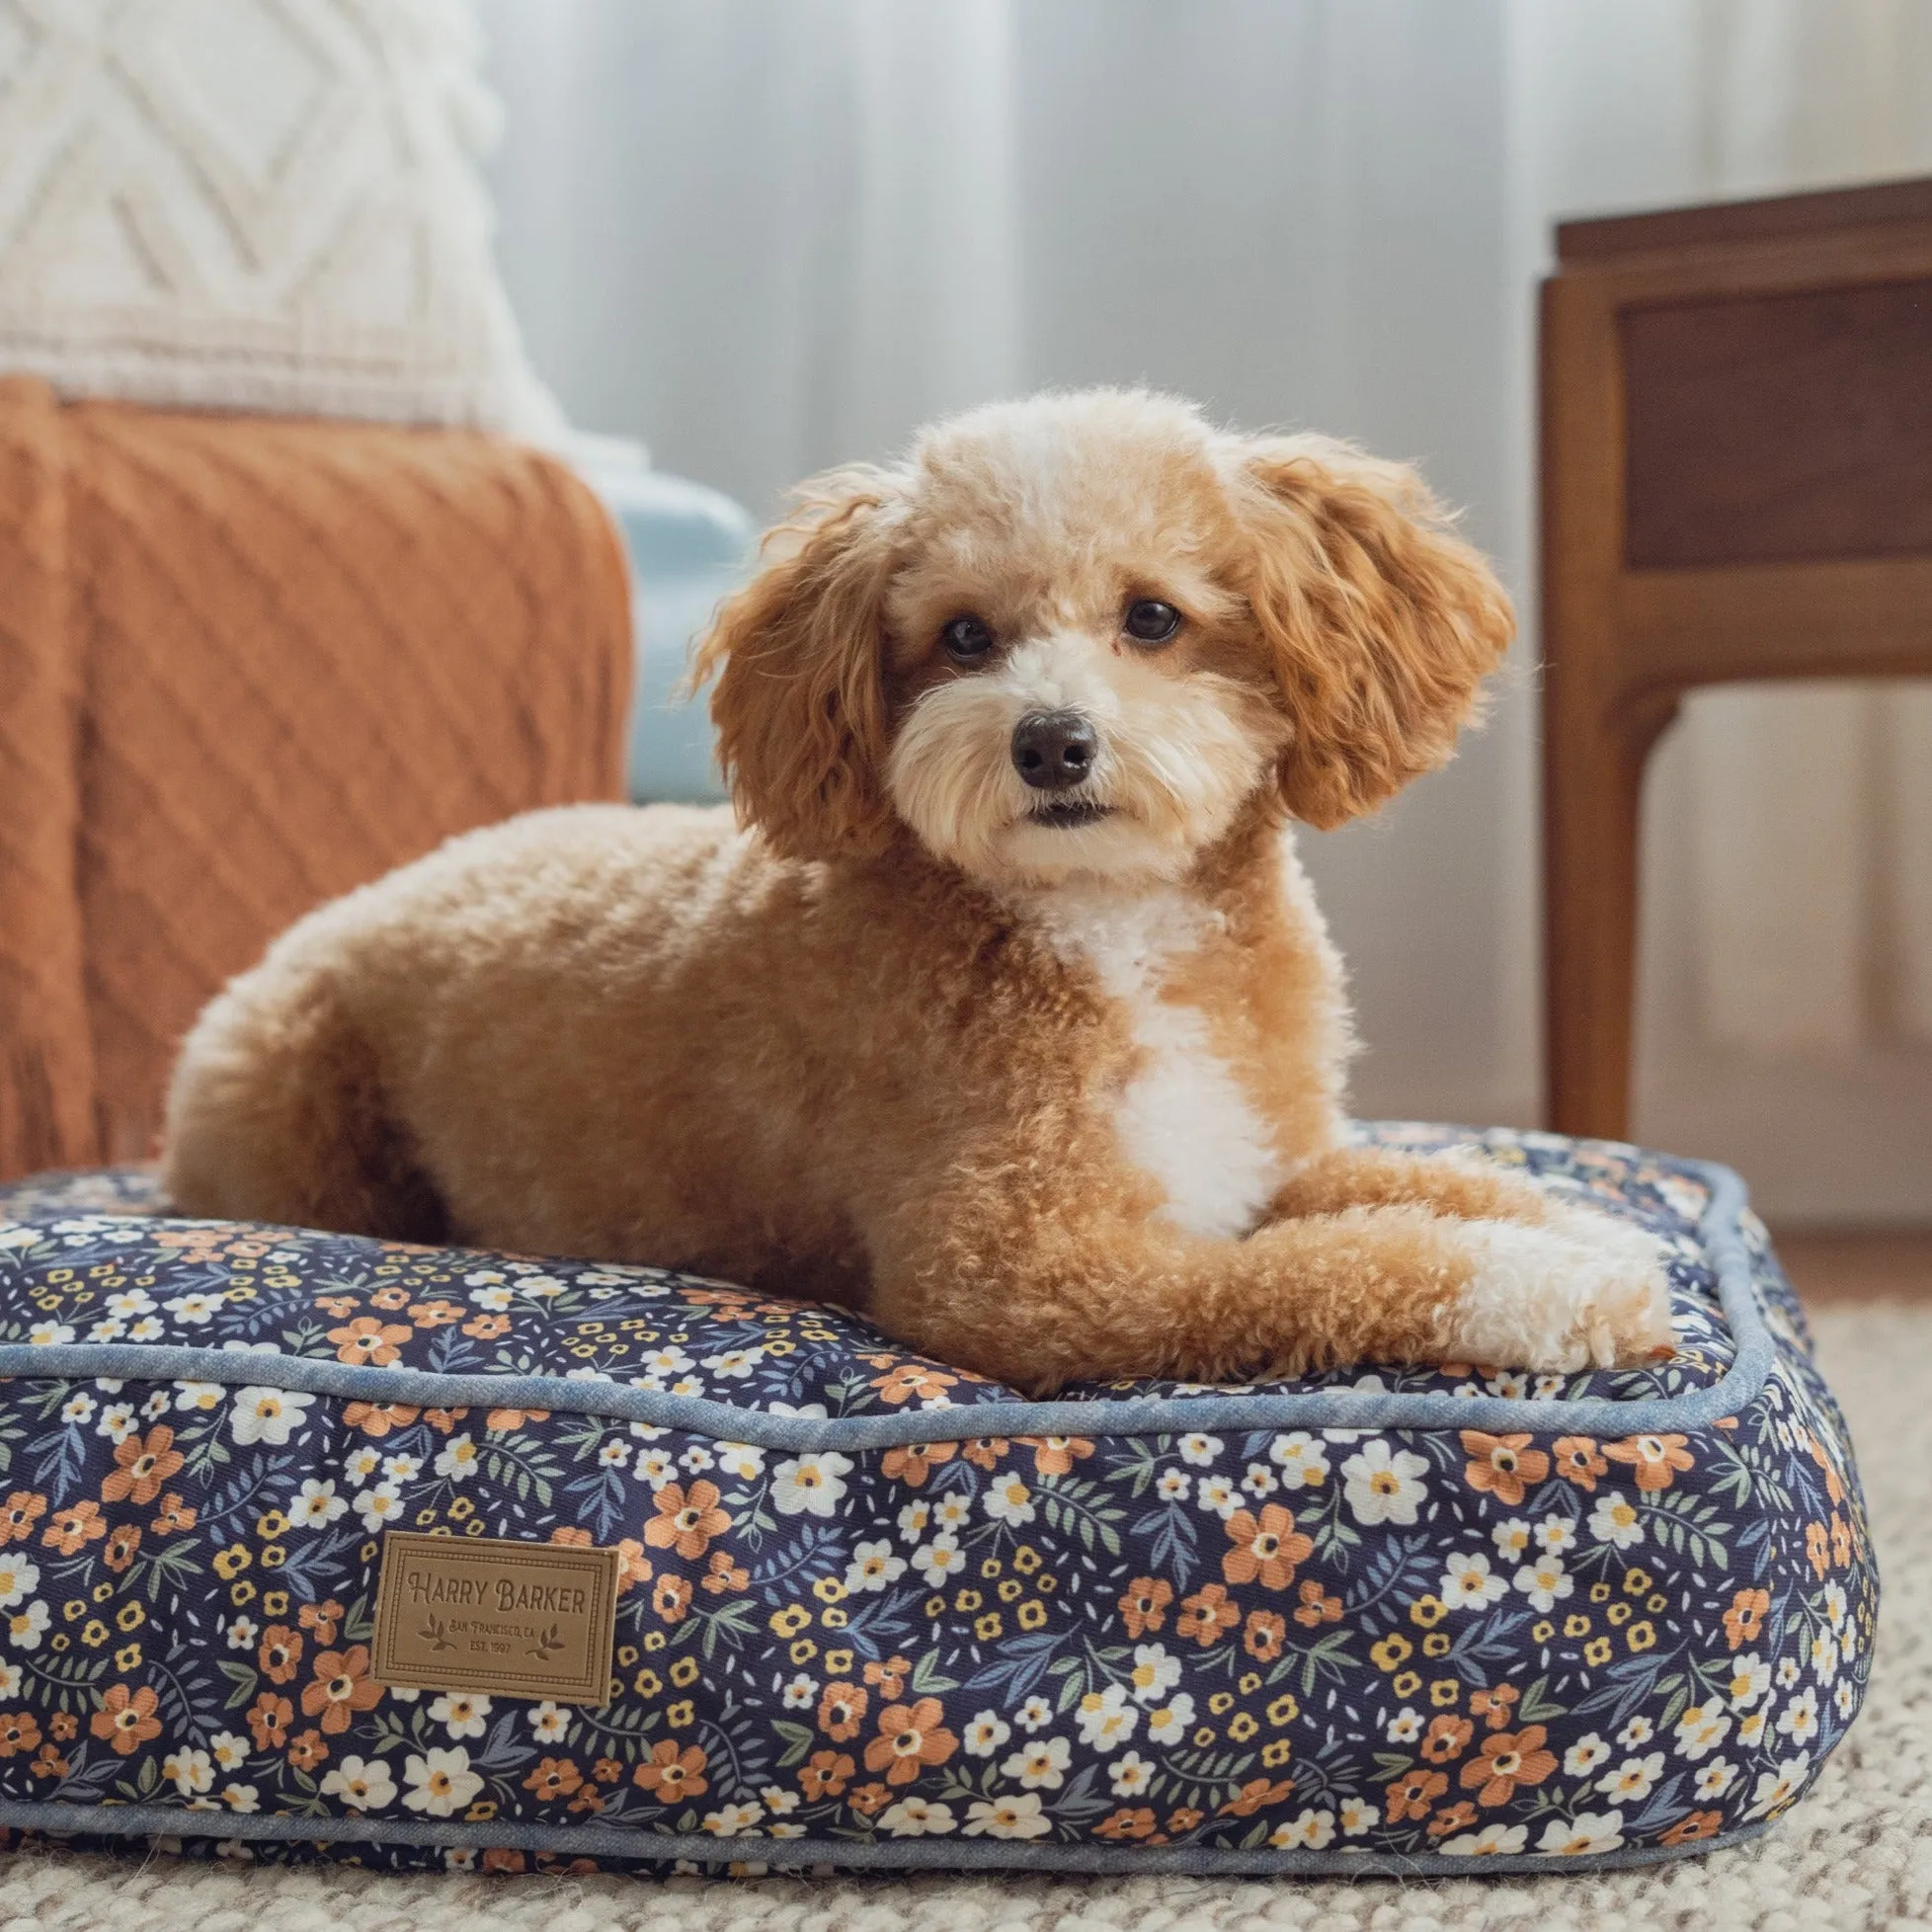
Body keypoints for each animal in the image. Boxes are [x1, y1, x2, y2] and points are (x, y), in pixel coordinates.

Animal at [162, 388, 1676, 1391]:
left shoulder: (1265, 1157)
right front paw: (1560, 1287)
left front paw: (1581, 1219)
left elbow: (1422, 1183)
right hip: (297, 1119)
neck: (1110, 928)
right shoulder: (1031, 1274)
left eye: (1152, 618)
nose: (1050, 741)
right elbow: (1339, 1270)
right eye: (962, 637)